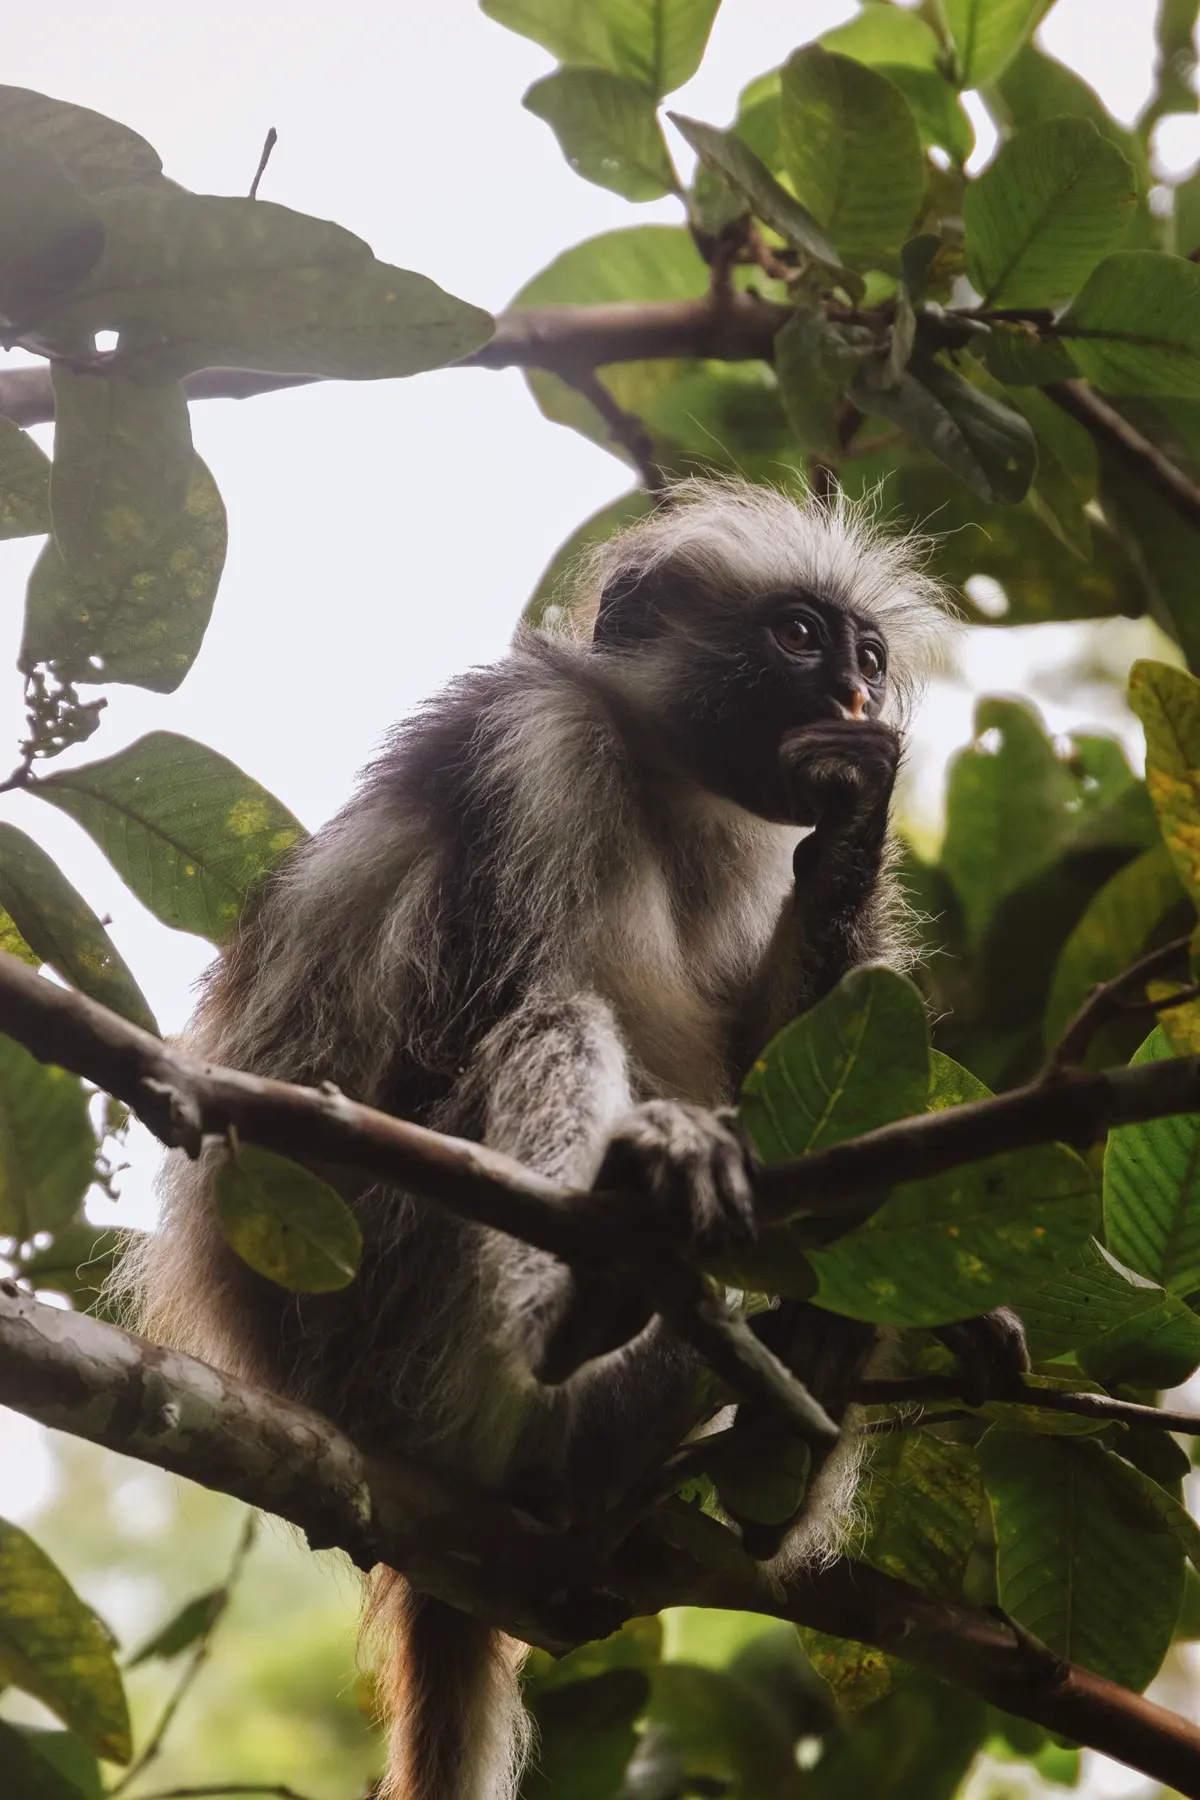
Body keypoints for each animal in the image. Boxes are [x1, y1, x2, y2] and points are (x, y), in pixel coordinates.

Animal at [123, 477, 1028, 1800]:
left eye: (865, 655)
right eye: (798, 637)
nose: (848, 694)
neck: (663, 777)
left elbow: (785, 1070)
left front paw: (857, 829)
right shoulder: (534, 748)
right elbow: (496, 1007)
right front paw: (673, 1157)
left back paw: (789, 1406)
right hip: (394, 1313)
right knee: (546, 1023)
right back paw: (592, 1305)